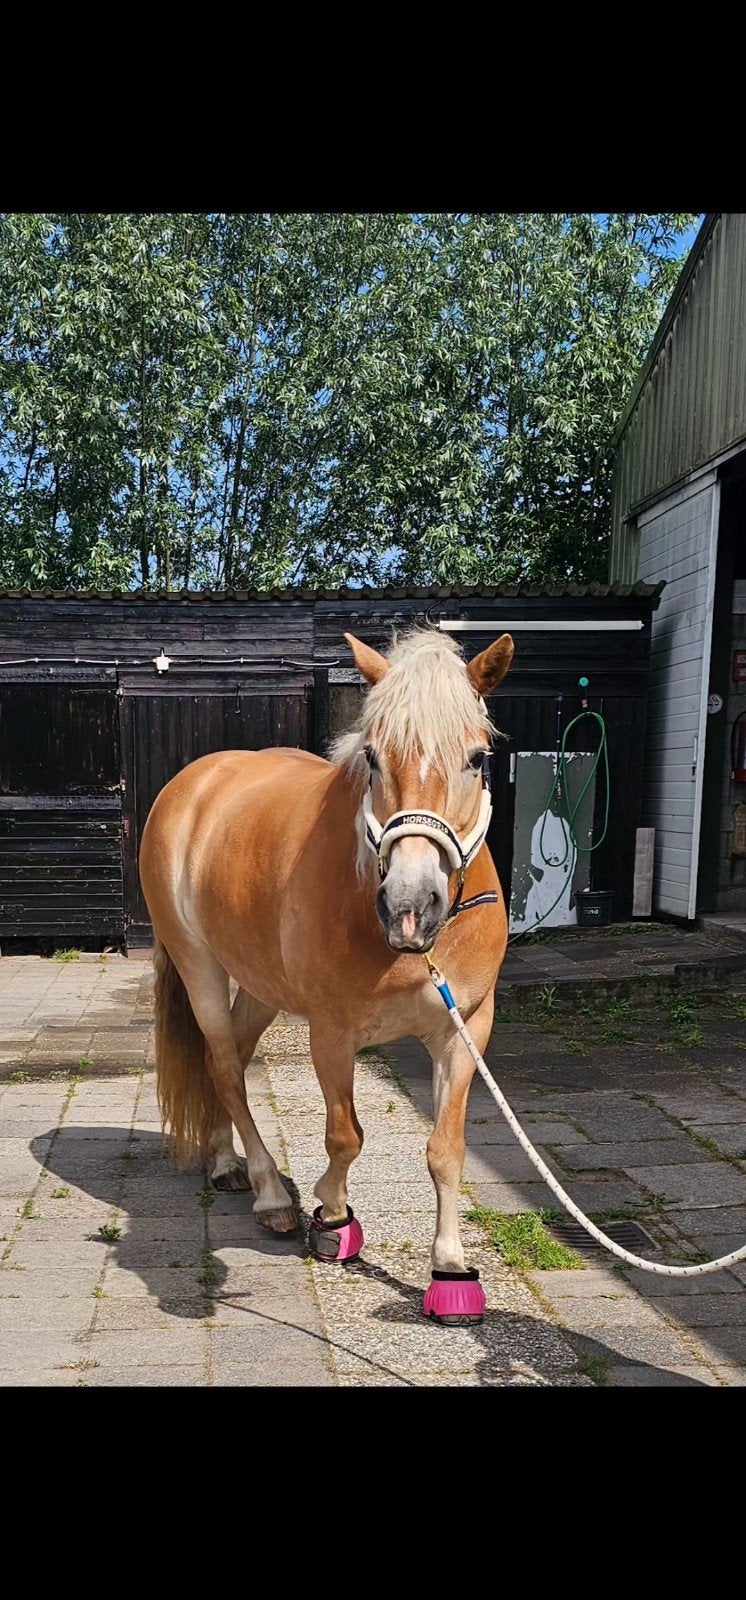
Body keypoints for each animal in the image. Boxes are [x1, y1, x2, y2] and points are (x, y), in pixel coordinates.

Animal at [139, 625, 514, 1322]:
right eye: (372, 757)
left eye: (477, 759)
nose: (410, 907)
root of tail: (196, 781)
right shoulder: (332, 1033)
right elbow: (345, 1136)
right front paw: (333, 1216)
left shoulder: (465, 1030)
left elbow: (446, 1151)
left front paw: (450, 1265)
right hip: (200, 965)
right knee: (224, 1064)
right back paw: (269, 1194)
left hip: (260, 985)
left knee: (226, 1058)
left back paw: (226, 1161)